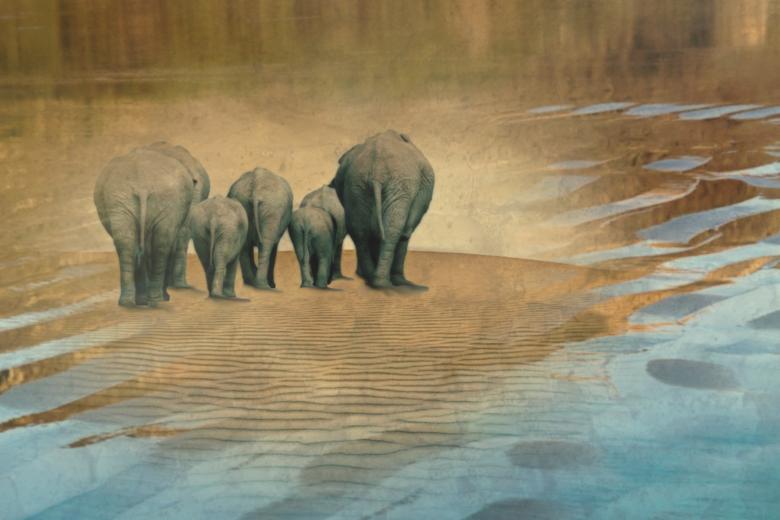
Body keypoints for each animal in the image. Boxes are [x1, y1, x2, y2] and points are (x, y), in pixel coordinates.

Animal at [94, 148, 195, 307]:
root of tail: (142, 183)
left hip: (120, 199)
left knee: (130, 245)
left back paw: (130, 302)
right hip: (159, 199)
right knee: (159, 247)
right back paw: (155, 300)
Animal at [329, 130, 434, 288]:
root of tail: (377, 170)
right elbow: (404, 231)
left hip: (356, 186)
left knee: (359, 230)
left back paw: (372, 279)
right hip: (398, 185)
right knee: (394, 230)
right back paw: (383, 283)